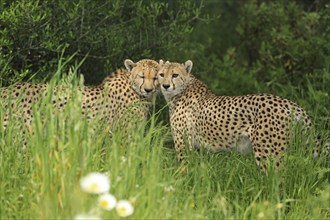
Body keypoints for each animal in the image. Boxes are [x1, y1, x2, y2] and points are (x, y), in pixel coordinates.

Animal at [158, 59, 320, 170]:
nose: (165, 85)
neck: (181, 90)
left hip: (267, 153)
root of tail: (289, 102)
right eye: (161, 74)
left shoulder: (183, 143)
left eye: (175, 75)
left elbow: (184, 168)